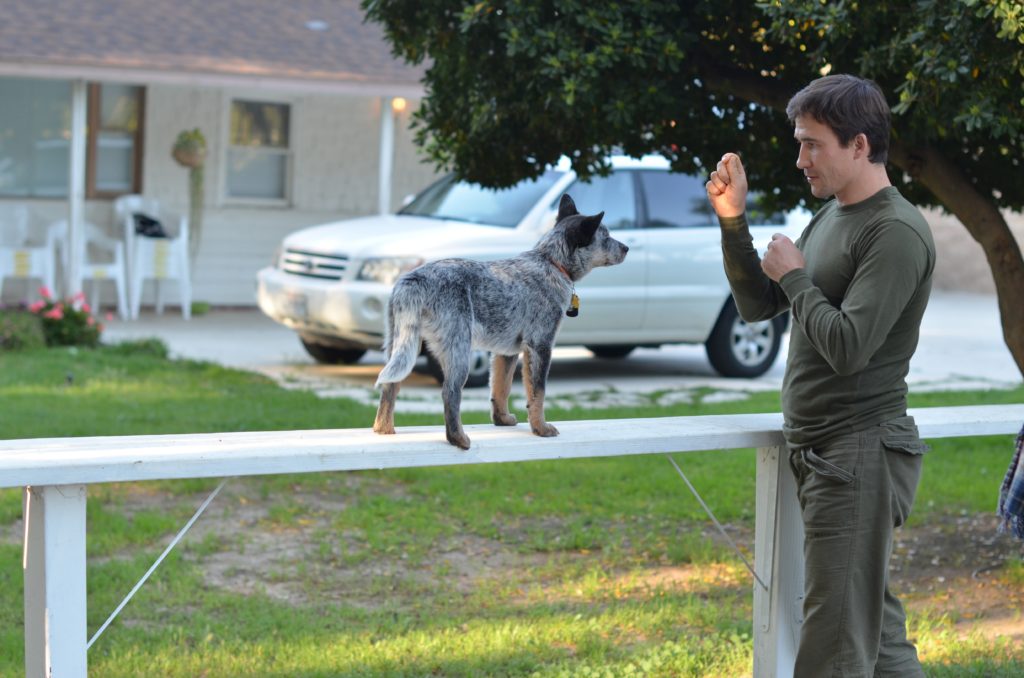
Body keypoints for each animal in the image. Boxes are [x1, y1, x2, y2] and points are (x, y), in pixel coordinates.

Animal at [372, 195, 626, 450]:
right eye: (605, 236)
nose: (626, 248)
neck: (550, 262)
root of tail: (413, 279)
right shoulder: (540, 346)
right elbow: (538, 393)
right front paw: (541, 428)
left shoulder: (506, 352)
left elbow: (501, 388)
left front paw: (502, 420)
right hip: (458, 350)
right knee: (449, 392)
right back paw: (458, 438)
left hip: (399, 346)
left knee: (390, 386)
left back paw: (384, 430)